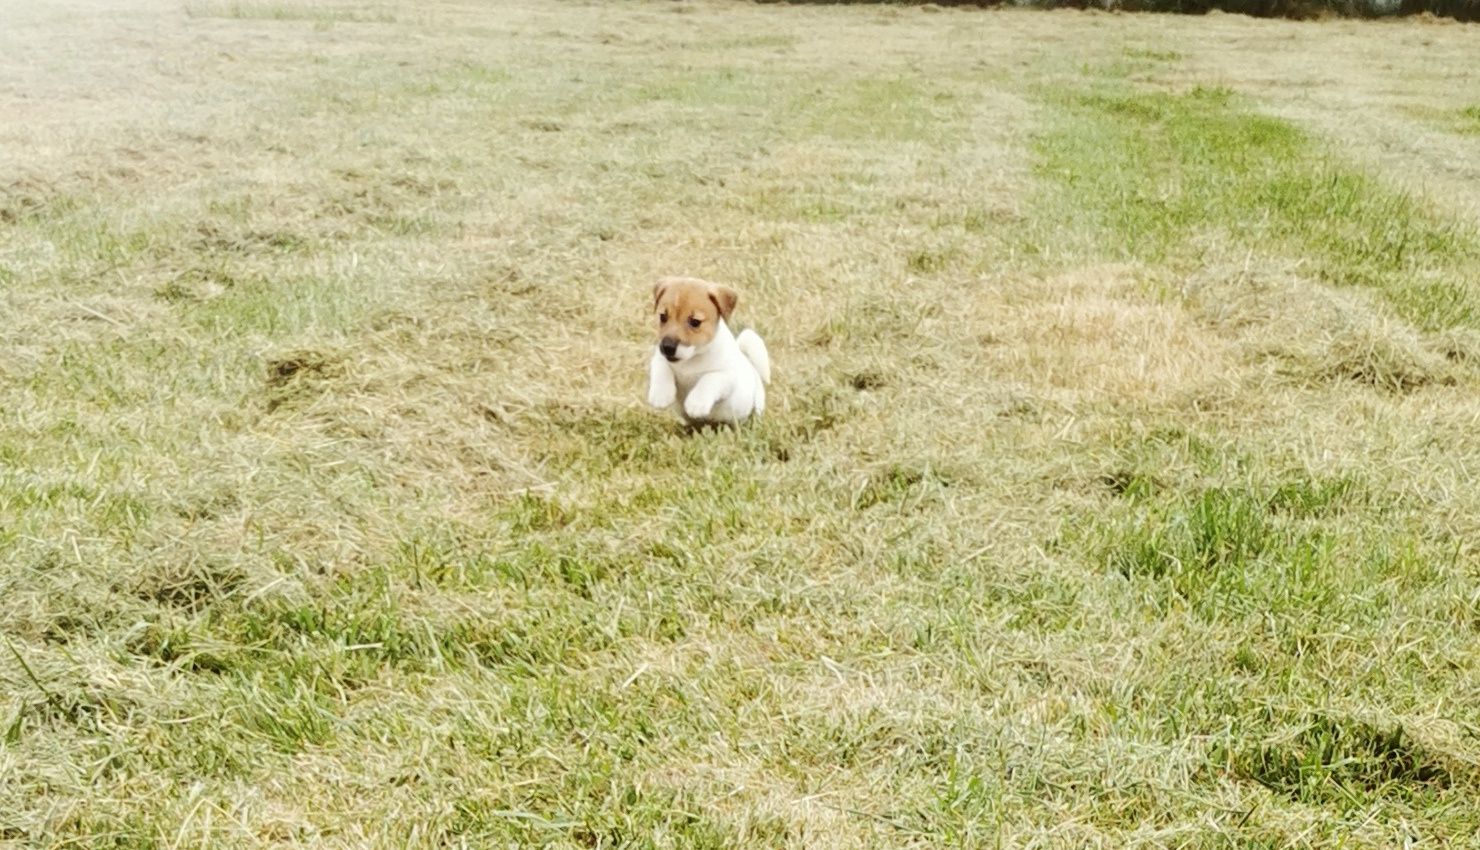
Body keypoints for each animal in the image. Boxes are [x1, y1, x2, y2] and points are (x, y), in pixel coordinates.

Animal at [642, 276, 769, 426]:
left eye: (695, 322)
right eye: (663, 317)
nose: (667, 347)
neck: (691, 359)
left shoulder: (727, 375)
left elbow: (708, 379)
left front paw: (696, 403)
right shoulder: (659, 358)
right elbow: (662, 369)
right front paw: (661, 395)